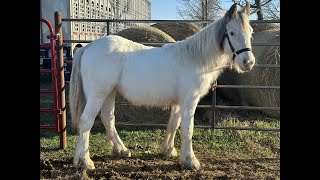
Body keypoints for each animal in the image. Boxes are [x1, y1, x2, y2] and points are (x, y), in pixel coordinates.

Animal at [69, 2, 255, 170]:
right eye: (232, 32)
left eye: (251, 32)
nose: (248, 62)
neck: (195, 59)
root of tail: (88, 47)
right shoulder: (189, 101)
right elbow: (187, 129)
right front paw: (191, 161)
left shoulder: (179, 103)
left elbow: (174, 124)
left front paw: (168, 150)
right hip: (97, 95)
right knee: (86, 121)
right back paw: (85, 161)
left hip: (109, 93)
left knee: (108, 118)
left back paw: (121, 150)